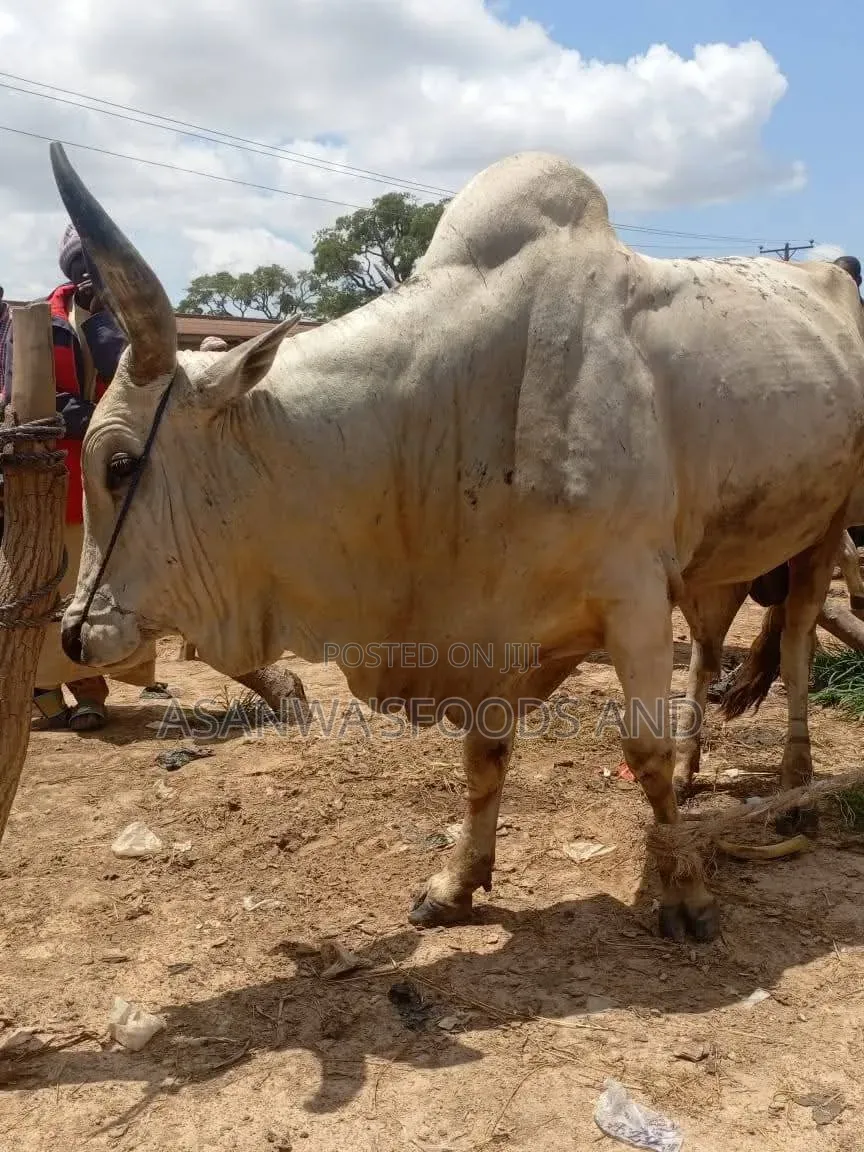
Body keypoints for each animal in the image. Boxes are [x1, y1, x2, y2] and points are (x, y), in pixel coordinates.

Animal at [48, 143, 864, 944]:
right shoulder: (492, 625)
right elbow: (483, 756)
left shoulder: (630, 597)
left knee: (795, 648)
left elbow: (643, 751)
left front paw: (686, 894)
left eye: (119, 464)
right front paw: (456, 883)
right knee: (707, 651)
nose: (76, 633)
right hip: (715, 561)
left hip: (826, 529)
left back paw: (797, 786)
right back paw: (703, 768)